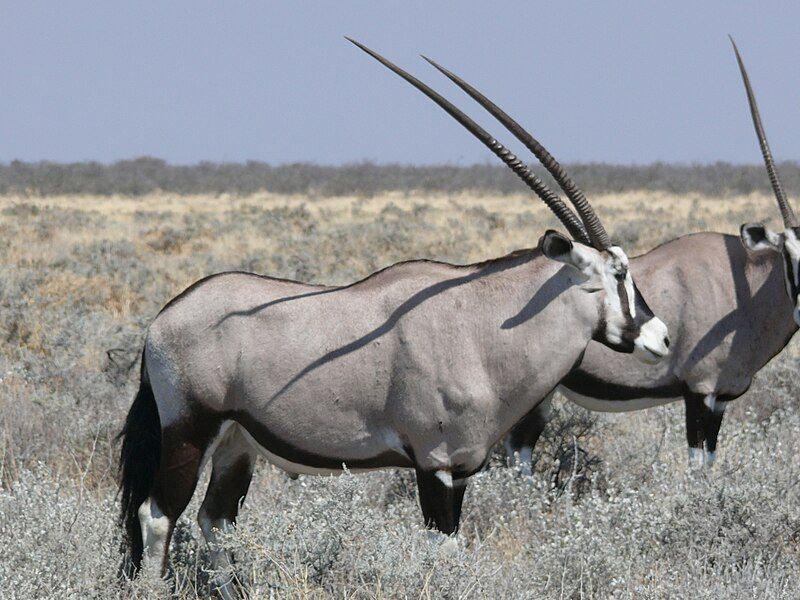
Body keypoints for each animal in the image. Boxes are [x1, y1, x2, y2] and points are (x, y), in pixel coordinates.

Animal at [119, 39, 668, 588]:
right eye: (619, 273)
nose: (661, 338)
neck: (481, 327)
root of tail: (162, 320)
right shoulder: (435, 465)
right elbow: (439, 550)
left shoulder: (461, 470)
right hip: (190, 430)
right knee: (158, 514)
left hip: (237, 441)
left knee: (216, 518)